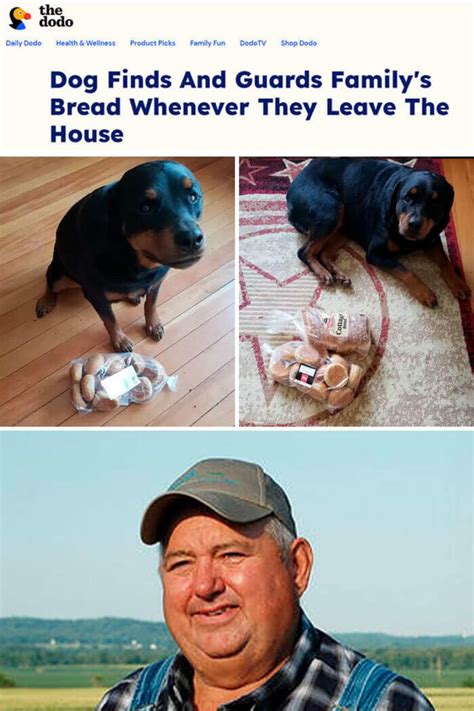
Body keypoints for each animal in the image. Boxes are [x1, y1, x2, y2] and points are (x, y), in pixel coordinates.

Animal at [36, 160, 206, 352]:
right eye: (145, 208)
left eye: (193, 197)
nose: (191, 239)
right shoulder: (96, 296)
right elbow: (110, 320)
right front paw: (120, 340)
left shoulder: (156, 283)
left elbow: (151, 304)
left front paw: (153, 324)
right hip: (61, 274)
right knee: (50, 282)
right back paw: (46, 301)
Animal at [286, 159, 470, 306]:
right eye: (407, 198)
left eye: (435, 203)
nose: (414, 224)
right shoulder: (375, 253)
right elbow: (406, 270)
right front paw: (425, 292)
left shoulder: (431, 237)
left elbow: (444, 260)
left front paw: (458, 283)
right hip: (330, 209)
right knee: (304, 251)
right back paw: (323, 273)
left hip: (344, 225)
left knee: (324, 253)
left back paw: (339, 274)